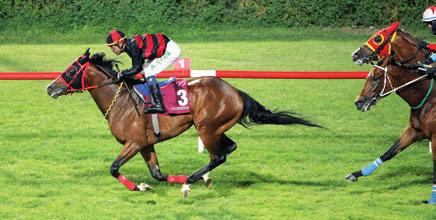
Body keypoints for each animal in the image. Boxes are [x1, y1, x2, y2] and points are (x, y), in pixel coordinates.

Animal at [46, 49, 320, 197]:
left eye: (70, 71)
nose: (50, 87)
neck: (121, 101)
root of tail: (235, 91)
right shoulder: (145, 144)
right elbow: (157, 174)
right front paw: (146, 185)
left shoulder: (133, 143)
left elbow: (114, 168)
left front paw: (138, 187)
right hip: (215, 128)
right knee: (229, 148)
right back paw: (201, 177)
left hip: (207, 127)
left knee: (219, 155)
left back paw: (191, 182)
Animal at [350, 21, 436, 203]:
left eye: (377, 38)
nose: (358, 102)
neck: (429, 95)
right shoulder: (416, 130)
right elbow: (390, 151)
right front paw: (357, 173)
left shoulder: (435, 137)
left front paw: (432, 199)